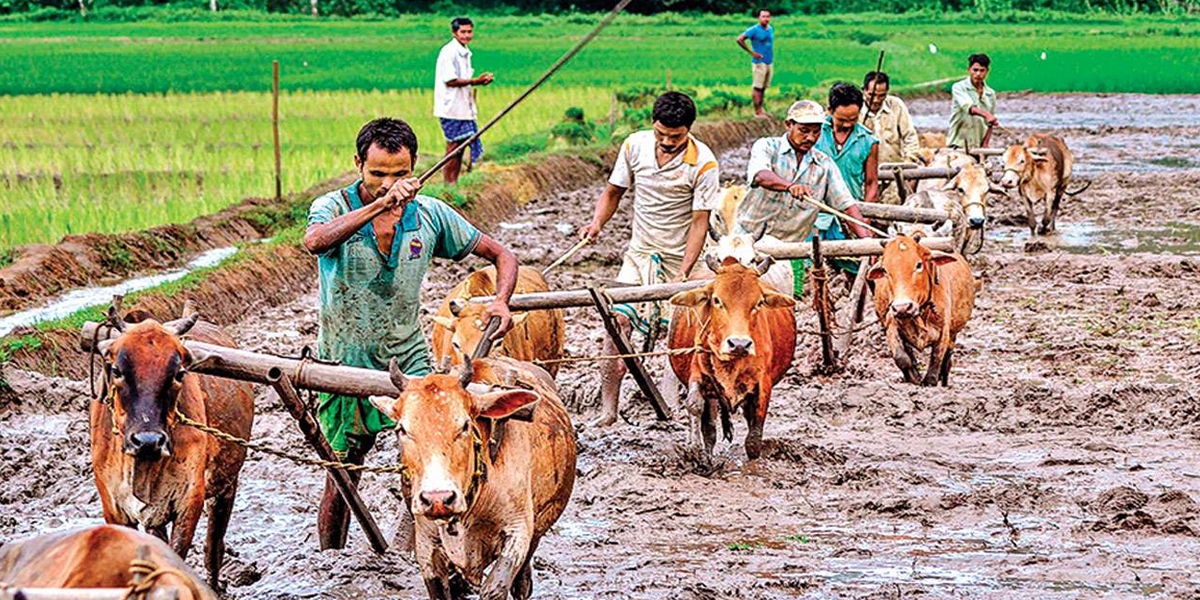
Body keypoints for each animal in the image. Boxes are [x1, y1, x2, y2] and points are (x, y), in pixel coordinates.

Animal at [92, 302, 254, 590]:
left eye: (179, 373)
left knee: (214, 546)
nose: (147, 441)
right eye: (116, 370)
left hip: (227, 484)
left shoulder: (189, 501)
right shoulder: (113, 509)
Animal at [368, 355, 576, 600]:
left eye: (465, 425)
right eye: (402, 429)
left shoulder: (518, 530)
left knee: (522, 583)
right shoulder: (426, 543)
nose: (438, 499)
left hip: (538, 528)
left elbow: (494, 589)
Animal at [667, 255, 796, 458]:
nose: (739, 344)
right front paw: (695, 451)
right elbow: (694, 405)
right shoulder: (698, 373)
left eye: (759, 303)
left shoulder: (762, 385)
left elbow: (753, 441)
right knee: (710, 429)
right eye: (717, 300)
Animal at [868, 232, 978, 387]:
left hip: (954, 333)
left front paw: (930, 380)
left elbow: (936, 360)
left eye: (919, 265)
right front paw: (914, 377)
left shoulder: (944, 331)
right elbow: (902, 358)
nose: (902, 307)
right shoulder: (891, 323)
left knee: (947, 362)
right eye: (884, 270)